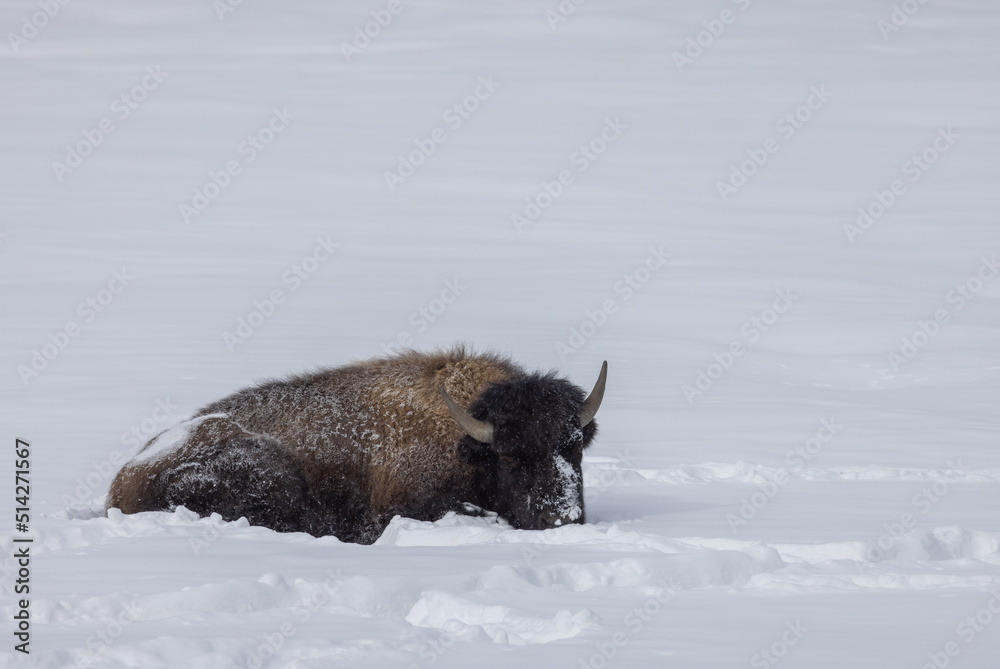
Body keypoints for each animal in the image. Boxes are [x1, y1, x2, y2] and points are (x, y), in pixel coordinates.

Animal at [106, 348, 607, 544]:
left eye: (574, 447)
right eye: (508, 455)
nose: (561, 518)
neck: (465, 438)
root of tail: (120, 485)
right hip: (264, 468)